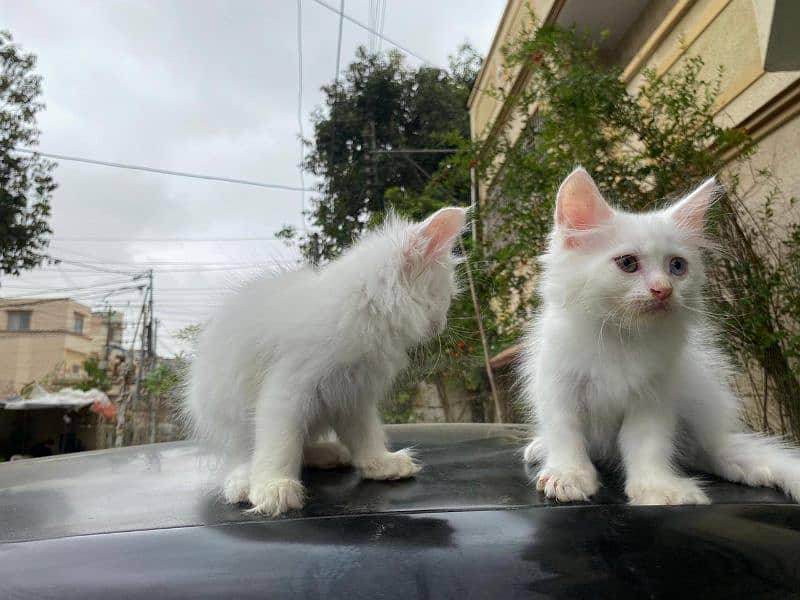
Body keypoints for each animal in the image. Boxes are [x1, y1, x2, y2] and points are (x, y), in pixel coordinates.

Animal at [184, 207, 466, 516]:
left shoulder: (351, 396)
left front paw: (382, 464)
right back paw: (243, 483)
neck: (364, 308)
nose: (443, 324)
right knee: (245, 454)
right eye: (446, 297)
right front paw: (273, 487)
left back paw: (327, 453)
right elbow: (279, 443)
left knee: (303, 446)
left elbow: (366, 435)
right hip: (232, 416)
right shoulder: (288, 391)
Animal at [520, 166, 800, 504]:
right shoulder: (558, 385)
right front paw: (568, 475)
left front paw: (657, 488)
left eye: (677, 266)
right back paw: (540, 447)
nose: (663, 290)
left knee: (709, 452)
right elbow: (565, 434)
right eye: (628, 263)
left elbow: (645, 445)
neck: (622, 337)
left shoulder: (653, 399)